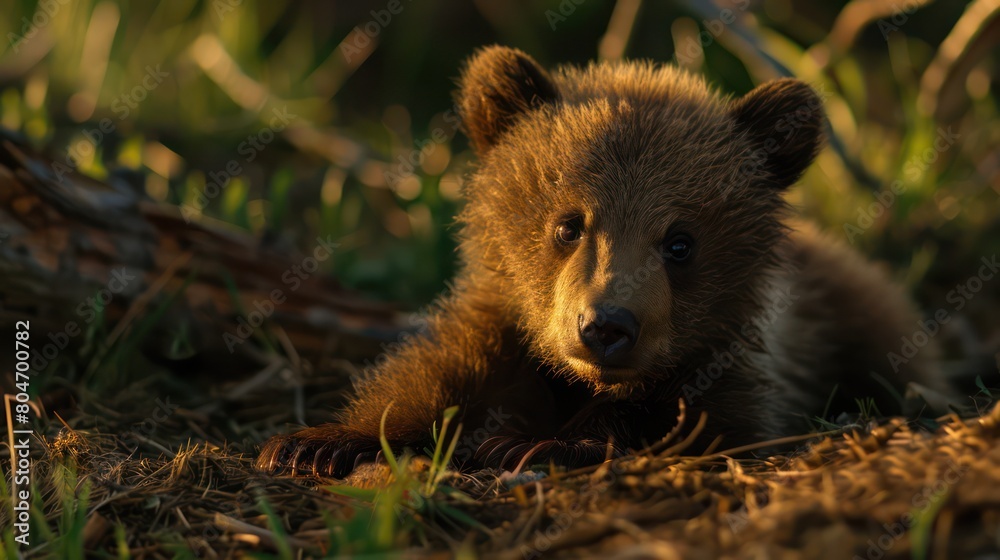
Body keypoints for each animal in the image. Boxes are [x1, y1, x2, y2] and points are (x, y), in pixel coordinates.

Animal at [256, 46, 948, 477]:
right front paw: (311, 445)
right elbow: (431, 376)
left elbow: (695, 415)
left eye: (680, 240)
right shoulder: (501, 325)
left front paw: (536, 444)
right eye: (568, 223)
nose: (607, 326)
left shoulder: (742, 360)